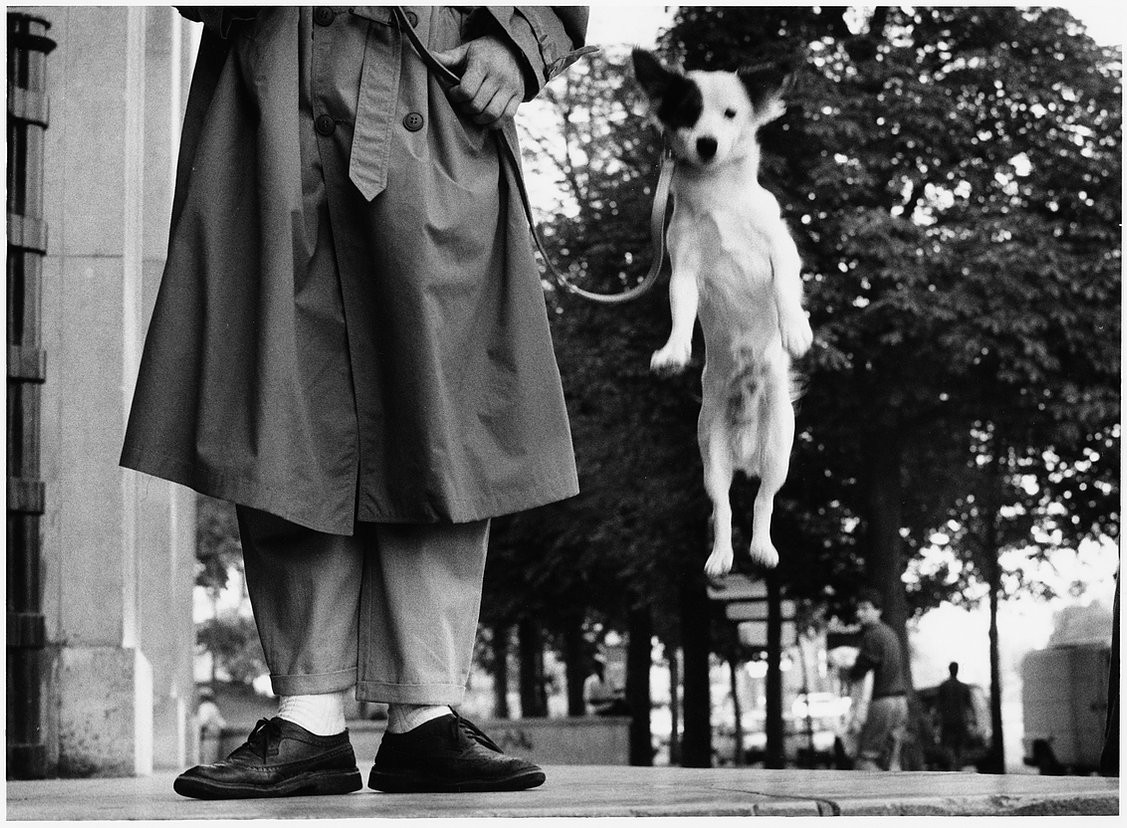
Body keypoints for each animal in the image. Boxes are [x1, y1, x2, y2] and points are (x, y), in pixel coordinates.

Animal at [635, 50, 811, 576]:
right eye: (687, 112)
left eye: (731, 114)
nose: (707, 143)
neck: (720, 200)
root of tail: (747, 445)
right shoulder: (684, 269)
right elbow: (680, 311)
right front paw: (673, 352)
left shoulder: (781, 250)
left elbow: (786, 289)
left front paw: (796, 330)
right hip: (711, 455)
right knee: (725, 505)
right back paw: (722, 557)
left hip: (780, 450)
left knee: (764, 500)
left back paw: (763, 548)